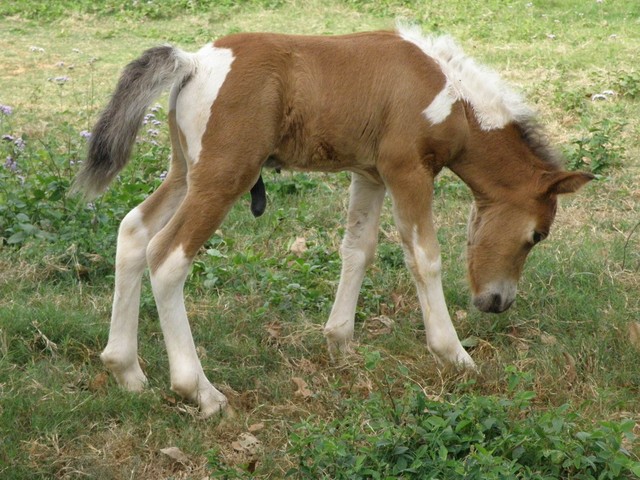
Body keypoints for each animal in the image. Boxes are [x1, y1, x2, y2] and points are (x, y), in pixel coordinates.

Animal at [75, 26, 596, 416]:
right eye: (537, 234)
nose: (498, 302)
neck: (451, 95)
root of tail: (194, 62)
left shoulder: (369, 174)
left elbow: (358, 250)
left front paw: (341, 344)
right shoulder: (407, 169)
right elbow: (424, 257)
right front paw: (455, 356)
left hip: (186, 170)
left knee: (133, 231)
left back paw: (126, 370)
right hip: (225, 175)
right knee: (167, 257)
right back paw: (200, 391)